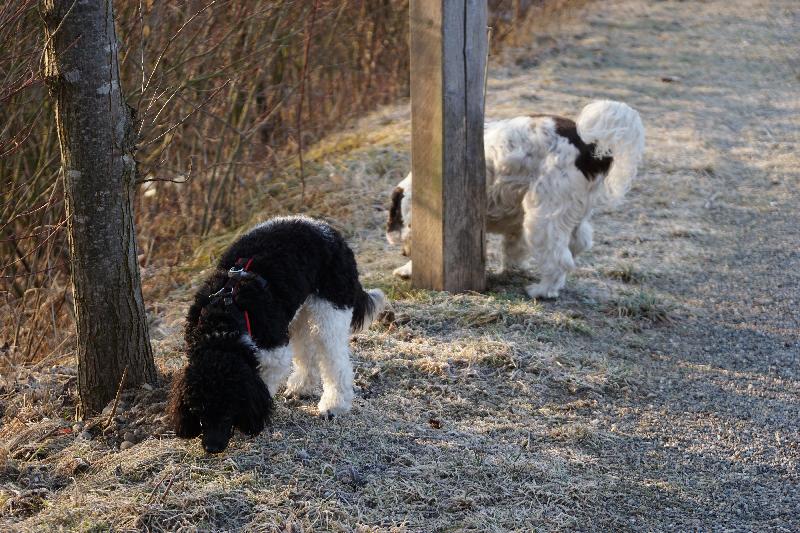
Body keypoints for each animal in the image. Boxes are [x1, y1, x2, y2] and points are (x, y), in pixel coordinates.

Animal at [169, 216, 385, 453]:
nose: (212, 447)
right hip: (299, 313)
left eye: (228, 408)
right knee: (307, 351)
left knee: (335, 361)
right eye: (198, 410)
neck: (222, 322)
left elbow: (264, 385)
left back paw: (334, 404)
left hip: (329, 312)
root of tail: (331, 232)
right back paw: (301, 387)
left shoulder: (274, 353)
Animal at [386, 100, 645, 299]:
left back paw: (542, 290)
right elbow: (513, 249)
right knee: (579, 242)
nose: (403, 253)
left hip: (543, 217)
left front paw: (408, 268)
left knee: (560, 259)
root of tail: (590, 145)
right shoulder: (515, 224)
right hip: (569, 211)